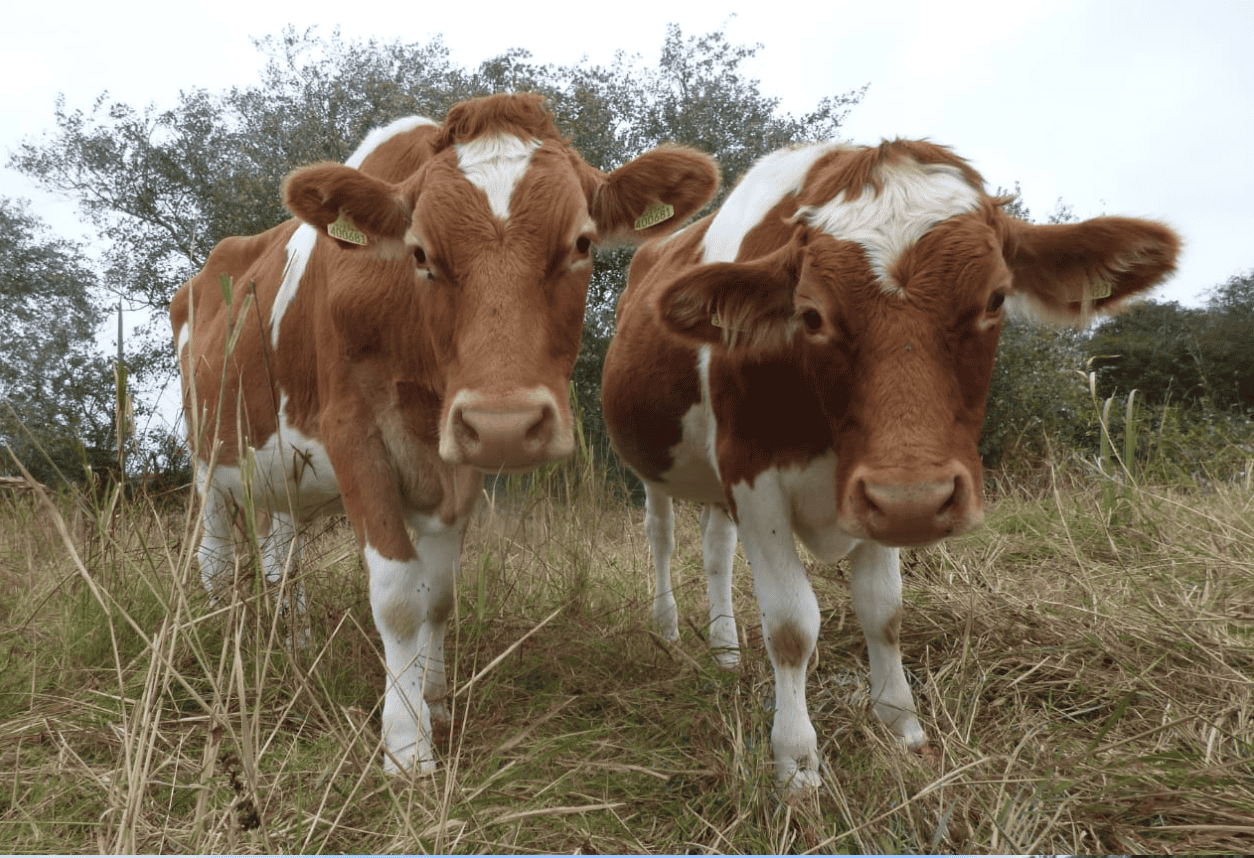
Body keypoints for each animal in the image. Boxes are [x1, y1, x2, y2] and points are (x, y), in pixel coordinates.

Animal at [171, 93, 719, 775]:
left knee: (280, 563)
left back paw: (294, 644)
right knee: (215, 559)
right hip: (209, 463)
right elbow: (398, 595)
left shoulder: (458, 463)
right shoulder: (354, 434)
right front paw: (407, 747)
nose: (505, 424)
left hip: (282, 477)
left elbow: (438, 595)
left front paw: (432, 701)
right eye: (421, 253)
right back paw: (221, 641)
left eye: (581, 243)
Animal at [601, 139, 1179, 793]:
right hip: (654, 470)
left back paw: (725, 651)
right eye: (811, 314)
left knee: (716, 550)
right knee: (662, 536)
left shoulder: (875, 489)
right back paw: (669, 631)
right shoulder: (759, 477)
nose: (919, 498)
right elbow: (792, 624)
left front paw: (901, 724)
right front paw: (796, 761)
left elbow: (884, 612)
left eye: (995, 298)